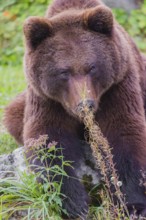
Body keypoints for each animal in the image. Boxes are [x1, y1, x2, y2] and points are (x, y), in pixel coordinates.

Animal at [3, 0, 146, 218]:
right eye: (64, 72)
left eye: (92, 67)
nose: (85, 103)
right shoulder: (48, 100)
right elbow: (49, 141)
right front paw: (74, 204)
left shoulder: (117, 86)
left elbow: (124, 133)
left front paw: (131, 204)